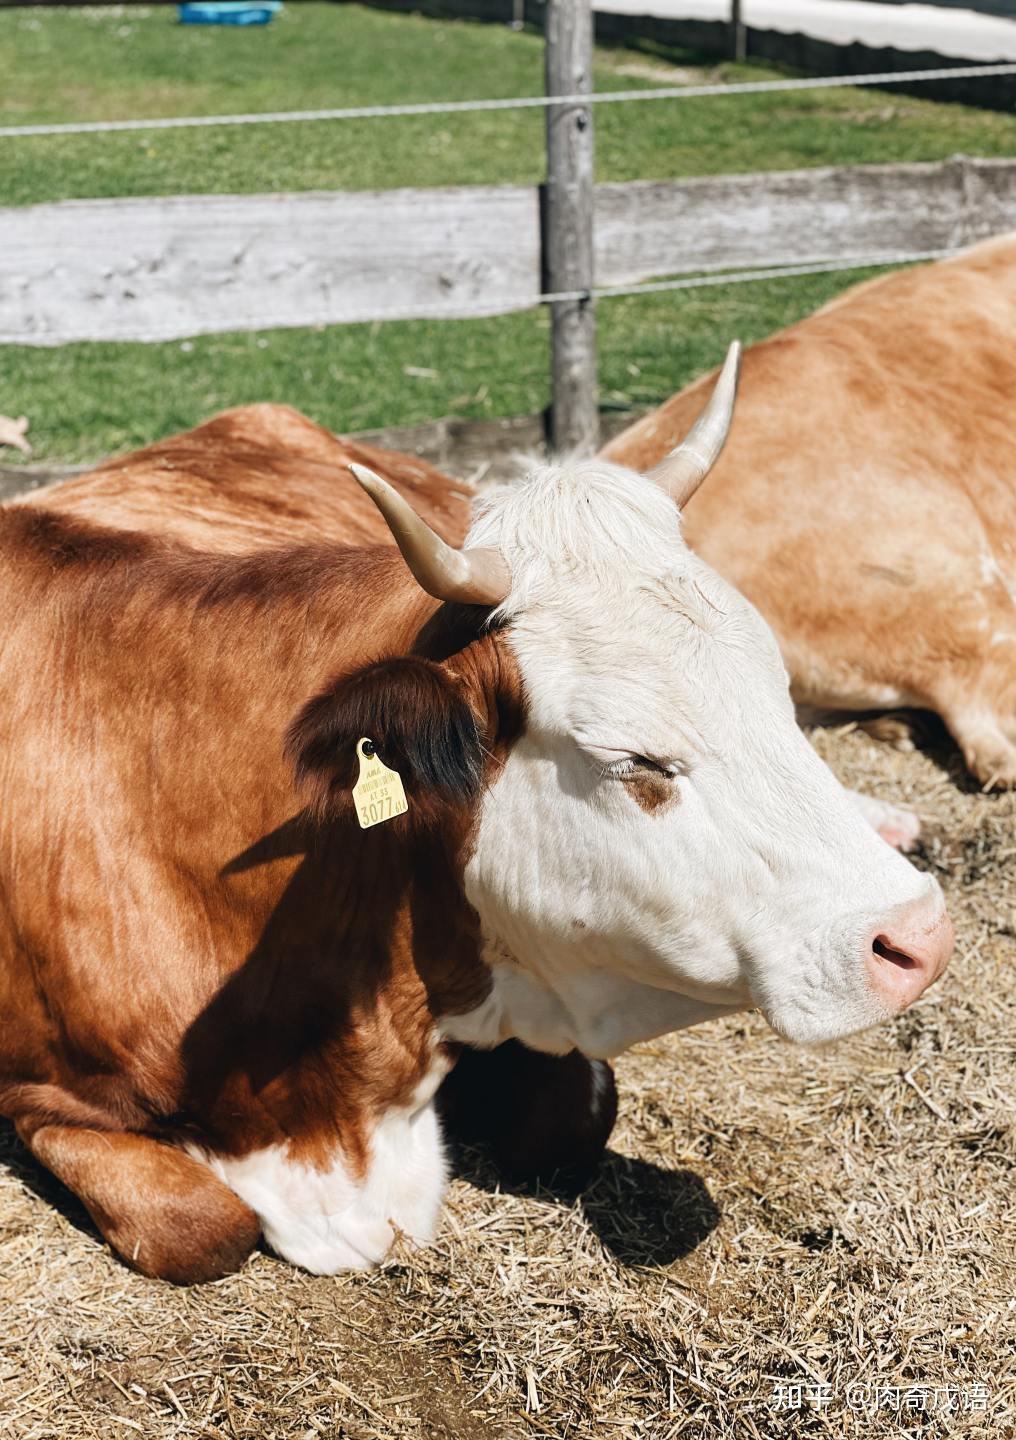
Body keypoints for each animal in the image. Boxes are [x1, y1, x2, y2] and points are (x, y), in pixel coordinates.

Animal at [0, 357, 949, 1284]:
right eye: (634, 760)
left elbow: (575, 1118)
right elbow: (198, 1226)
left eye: (778, 693)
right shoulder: (35, 1096)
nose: (919, 935)